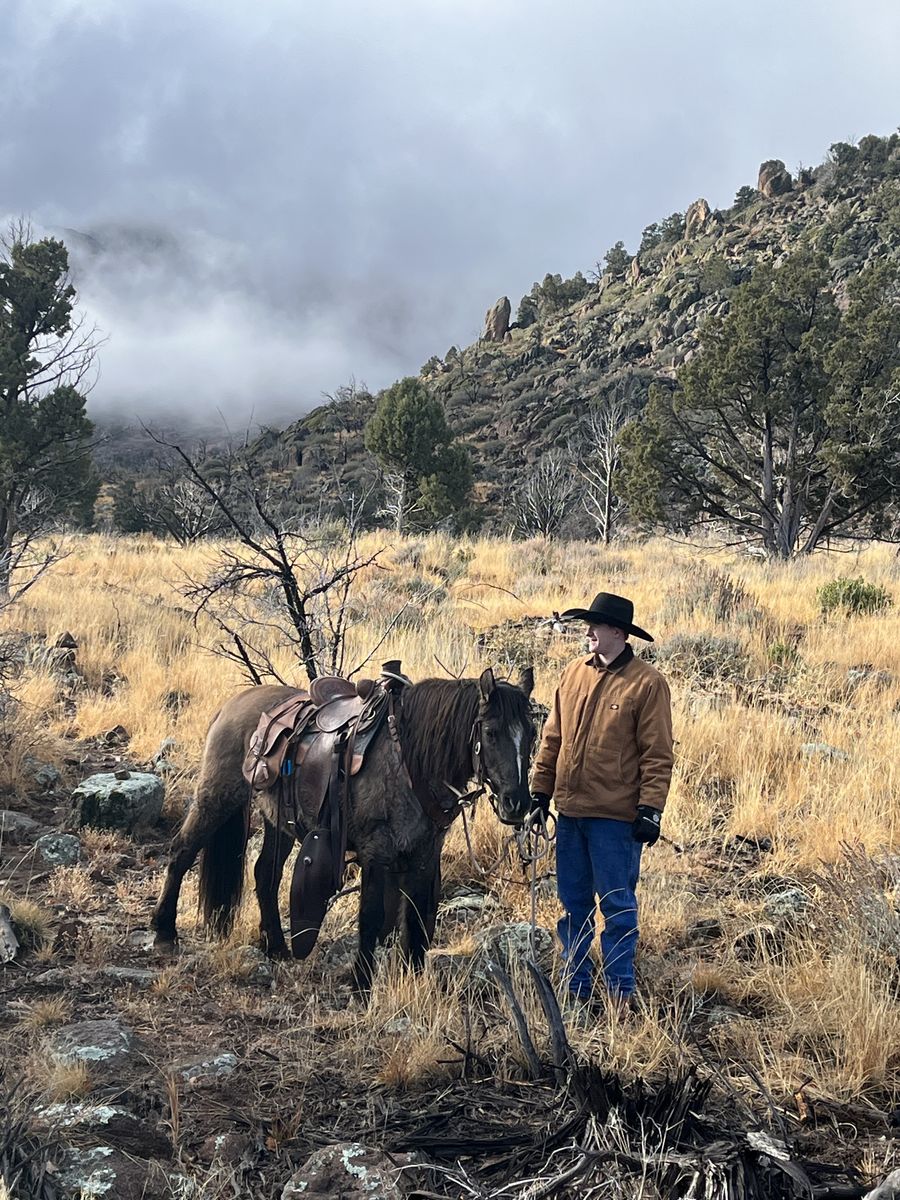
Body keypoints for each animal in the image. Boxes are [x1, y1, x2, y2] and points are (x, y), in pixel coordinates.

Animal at [151, 666, 536, 994]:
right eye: (491, 732)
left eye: (532, 734)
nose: (517, 804)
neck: (408, 761)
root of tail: (231, 706)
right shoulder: (375, 850)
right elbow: (372, 915)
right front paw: (362, 983)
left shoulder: (425, 853)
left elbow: (418, 917)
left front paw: (414, 978)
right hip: (216, 797)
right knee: (182, 852)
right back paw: (164, 931)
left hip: (280, 822)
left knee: (265, 874)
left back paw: (276, 945)